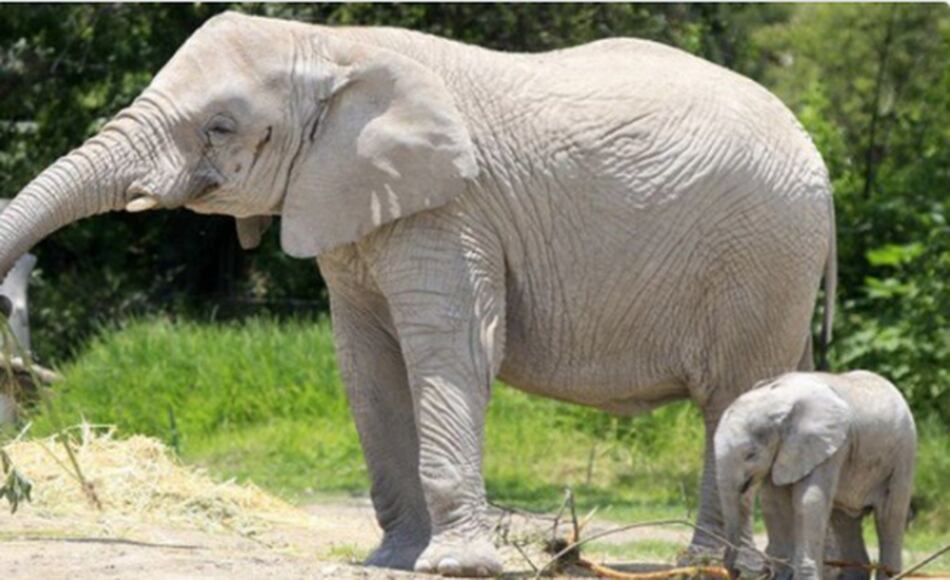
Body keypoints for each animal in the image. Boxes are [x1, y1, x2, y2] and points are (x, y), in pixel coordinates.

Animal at [0, 12, 837, 576]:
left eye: (221, 126)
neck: (331, 45)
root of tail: (819, 161)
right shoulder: (352, 207)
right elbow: (366, 364)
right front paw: (392, 561)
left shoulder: (453, 208)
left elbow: (452, 350)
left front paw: (455, 567)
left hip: (761, 255)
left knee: (728, 399)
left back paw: (716, 565)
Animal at [714, 371, 916, 580]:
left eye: (751, 454)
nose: (735, 571)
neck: (778, 397)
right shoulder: (784, 452)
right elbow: (773, 504)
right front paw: (781, 573)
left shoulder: (830, 445)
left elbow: (809, 501)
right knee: (845, 520)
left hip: (904, 455)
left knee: (889, 515)